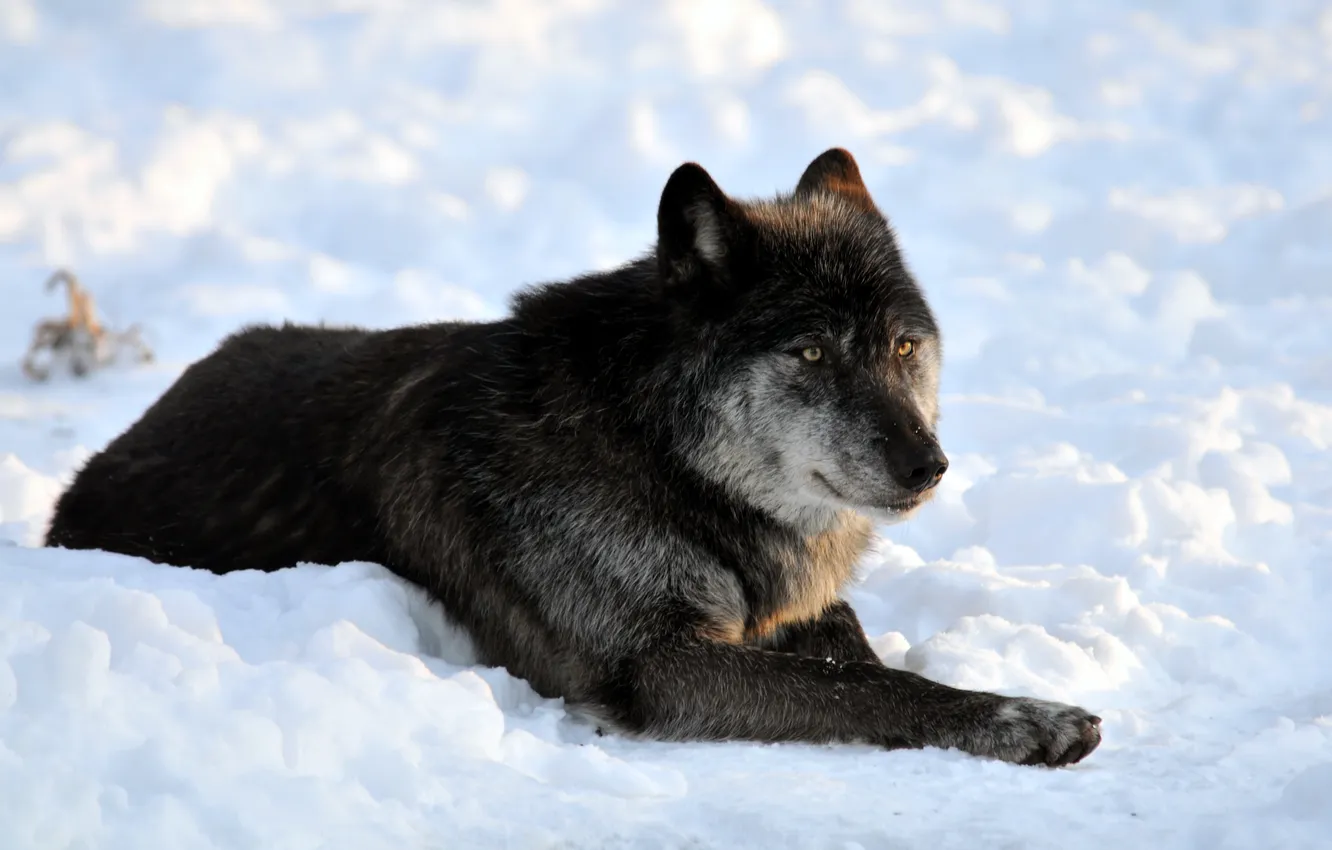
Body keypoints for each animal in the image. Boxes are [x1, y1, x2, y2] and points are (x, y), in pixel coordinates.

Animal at [44, 149, 1102, 767]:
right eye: (810, 353)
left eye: (902, 347)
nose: (929, 466)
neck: (657, 454)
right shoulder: (659, 665)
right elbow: (869, 688)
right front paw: (1025, 718)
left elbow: (854, 652)